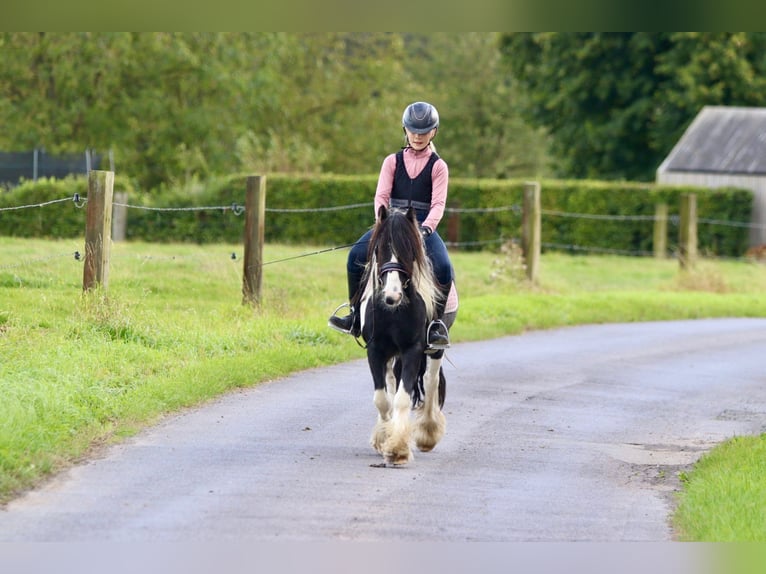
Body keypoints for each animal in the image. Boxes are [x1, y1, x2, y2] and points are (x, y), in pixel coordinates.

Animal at [356, 207, 452, 468]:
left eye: (409, 250)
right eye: (379, 248)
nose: (392, 295)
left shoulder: (412, 349)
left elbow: (402, 398)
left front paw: (397, 449)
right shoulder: (376, 349)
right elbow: (382, 398)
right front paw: (384, 438)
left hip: (435, 348)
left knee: (430, 381)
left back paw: (427, 433)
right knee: (392, 382)